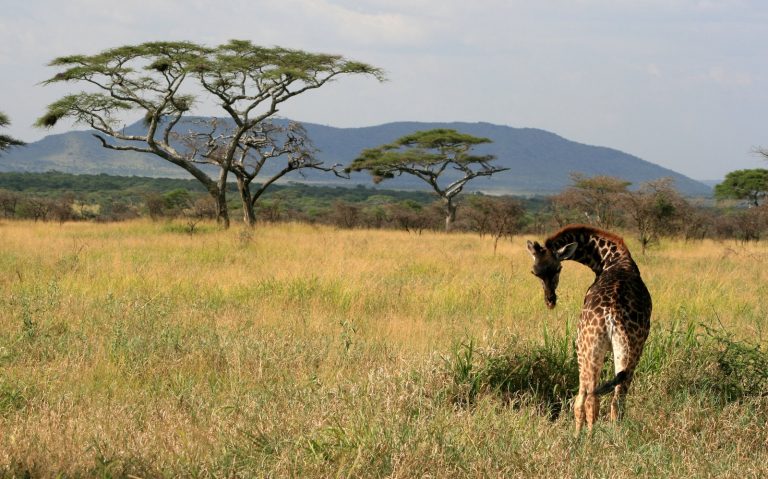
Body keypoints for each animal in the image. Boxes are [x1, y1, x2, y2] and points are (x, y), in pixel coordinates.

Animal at [526, 224, 651, 433]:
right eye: (535, 273)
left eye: (558, 268)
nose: (550, 301)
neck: (610, 258)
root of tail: (612, 315)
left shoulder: (579, 346)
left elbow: (580, 400)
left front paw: (578, 433)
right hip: (631, 348)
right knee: (618, 400)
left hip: (589, 348)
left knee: (589, 399)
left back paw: (586, 437)